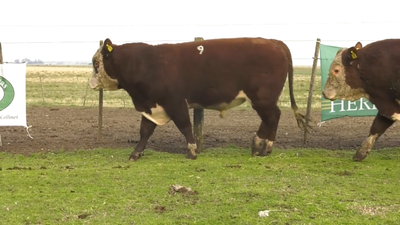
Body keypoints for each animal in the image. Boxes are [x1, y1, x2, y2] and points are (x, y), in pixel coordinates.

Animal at [90, 37, 310, 160]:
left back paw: (263, 147)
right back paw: (258, 146)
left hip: (262, 98)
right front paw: (135, 153)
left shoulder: (176, 102)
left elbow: (185, 127)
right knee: (269, 118)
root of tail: (274, 42)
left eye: (96, 63)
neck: (147, 63)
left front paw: (192, 151)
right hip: (263, 100)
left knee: (273, 117)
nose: (91, 82)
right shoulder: (152, 105)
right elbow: (145, 131)